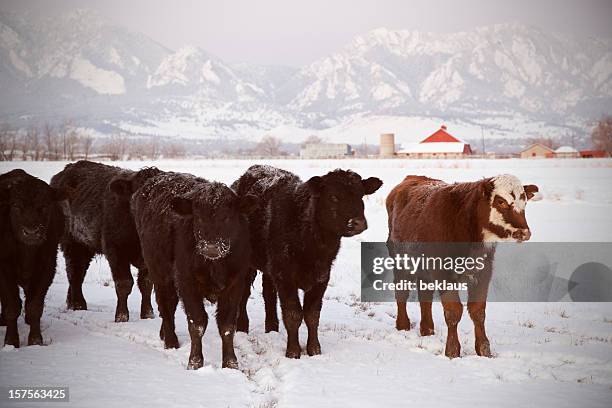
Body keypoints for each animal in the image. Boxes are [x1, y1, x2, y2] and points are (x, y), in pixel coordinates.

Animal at [0, 169, 64, 348]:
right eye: (15, 206)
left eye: (45, 206)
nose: (31, 232)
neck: (26, 251)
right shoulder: (3, 268)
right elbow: (12, 306)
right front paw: (11, 341)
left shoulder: (46, 267)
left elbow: (35, 306)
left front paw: (35, 340)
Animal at [51, 161, 160, 324]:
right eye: (138, 193)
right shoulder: (115, 251)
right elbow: (124, 283)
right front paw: (121, 316)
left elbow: (146, 284)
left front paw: (148, 314)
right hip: (72, 243)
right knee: (75, 273)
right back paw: (78, 304)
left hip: (85, 246)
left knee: (77, 272)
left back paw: (71, 303)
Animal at [126, 171, 256, 368]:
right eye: (199, 217)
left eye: (227, 217)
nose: (211, 247)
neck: (214, 264)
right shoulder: (187, 282)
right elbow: (197, 323)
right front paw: (195, 361)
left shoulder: (235, 284)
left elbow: (227, 326)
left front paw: (230, 362)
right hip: (160, 273)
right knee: (166, 305)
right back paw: (170, 341)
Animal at [232, 165, 380, 356]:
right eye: (333, 197)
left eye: (361, 195)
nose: (358, 223)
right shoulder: (285, 275)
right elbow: (293, 313)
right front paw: (293, 351)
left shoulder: (322, 276)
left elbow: (312, 314)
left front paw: (314, 349)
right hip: (248, 262)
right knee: (244, 293)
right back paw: (242, 327)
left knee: (268, 293)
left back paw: (272, 328)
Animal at [390, 175, 536, 356]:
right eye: (501, 201)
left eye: (524, 203)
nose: (524, 232)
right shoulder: (443, 273)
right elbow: (454, 312)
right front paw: (452, 350)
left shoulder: (483, 272)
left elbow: (478, 311)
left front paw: (484, 349)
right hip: (400, 260)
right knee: (401, 292)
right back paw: (403, 325)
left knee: (425, 296)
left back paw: (427, 329)